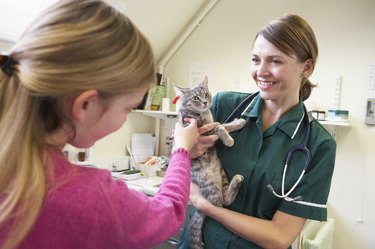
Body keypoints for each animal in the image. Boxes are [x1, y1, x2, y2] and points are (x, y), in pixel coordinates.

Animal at [176, 76, 247, 249]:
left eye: (206, 94)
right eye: (195, 98)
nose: (205, 102)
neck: (202, 114)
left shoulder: (211, 122)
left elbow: (223, 124)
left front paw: (238, 122)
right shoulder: (200, 130)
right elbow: (220, 126)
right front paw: (228, 140)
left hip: (222, 174)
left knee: (226, 199)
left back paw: (236, 181)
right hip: (211, 186)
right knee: (219, 204)